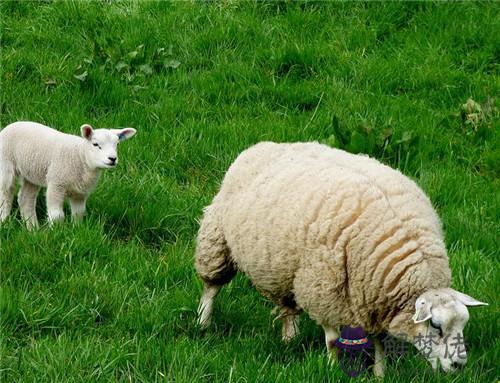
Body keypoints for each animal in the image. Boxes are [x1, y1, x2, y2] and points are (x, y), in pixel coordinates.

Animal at [0, 121, 137, 228]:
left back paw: (33, 229)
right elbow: (57, 216)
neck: (80, 156)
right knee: (5, 194)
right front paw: (56, 232)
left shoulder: (80, 193)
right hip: (5, 166)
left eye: (117, 144)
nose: (112, 159)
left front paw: (76, 230)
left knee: (25, 199)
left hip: (32, 174)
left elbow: (79, 213)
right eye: (95, 144)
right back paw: (4, 222)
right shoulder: (56, 184)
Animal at [195, 142, 488, 378]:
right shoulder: (324, 291)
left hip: (282, 268)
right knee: (212, 286)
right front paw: (333, 369)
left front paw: (380, 374)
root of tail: (261, 145)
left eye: (463, 323)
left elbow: (380, 342)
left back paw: (290, 338)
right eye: (435, 326)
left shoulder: (376, 301)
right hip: (217, 238)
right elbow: (334, 341)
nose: (459, 366)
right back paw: (203, 323)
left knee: (287, 305)